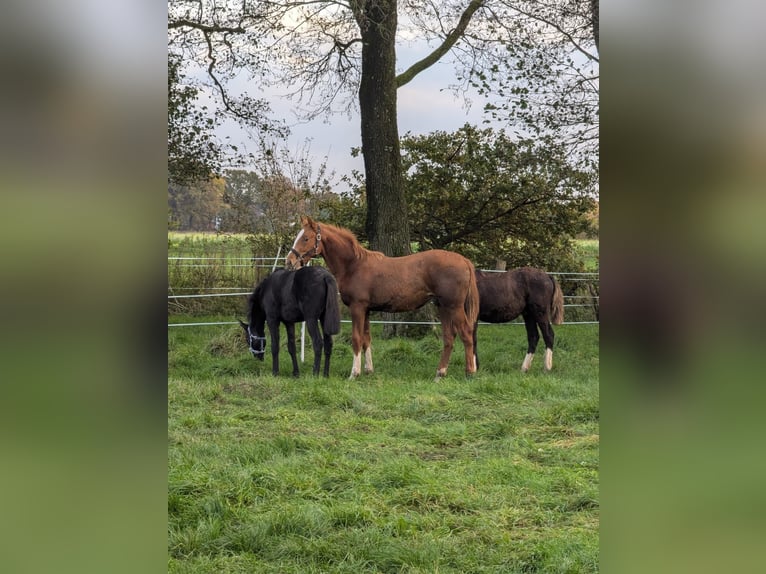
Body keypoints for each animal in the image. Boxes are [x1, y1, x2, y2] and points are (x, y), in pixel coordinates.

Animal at [285, 215, 479, 380]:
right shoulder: (367, 310)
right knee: (449, 338)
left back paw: (470, 373)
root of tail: (464, 261)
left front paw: (354, 374)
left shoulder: (357, 308)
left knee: (466, 333)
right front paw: (368, 370)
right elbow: (366, 339)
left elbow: (356, 339)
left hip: (454, 306)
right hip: (442, 306)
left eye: (306, 238)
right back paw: (440, 373)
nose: (289, 261)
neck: (354, 265)